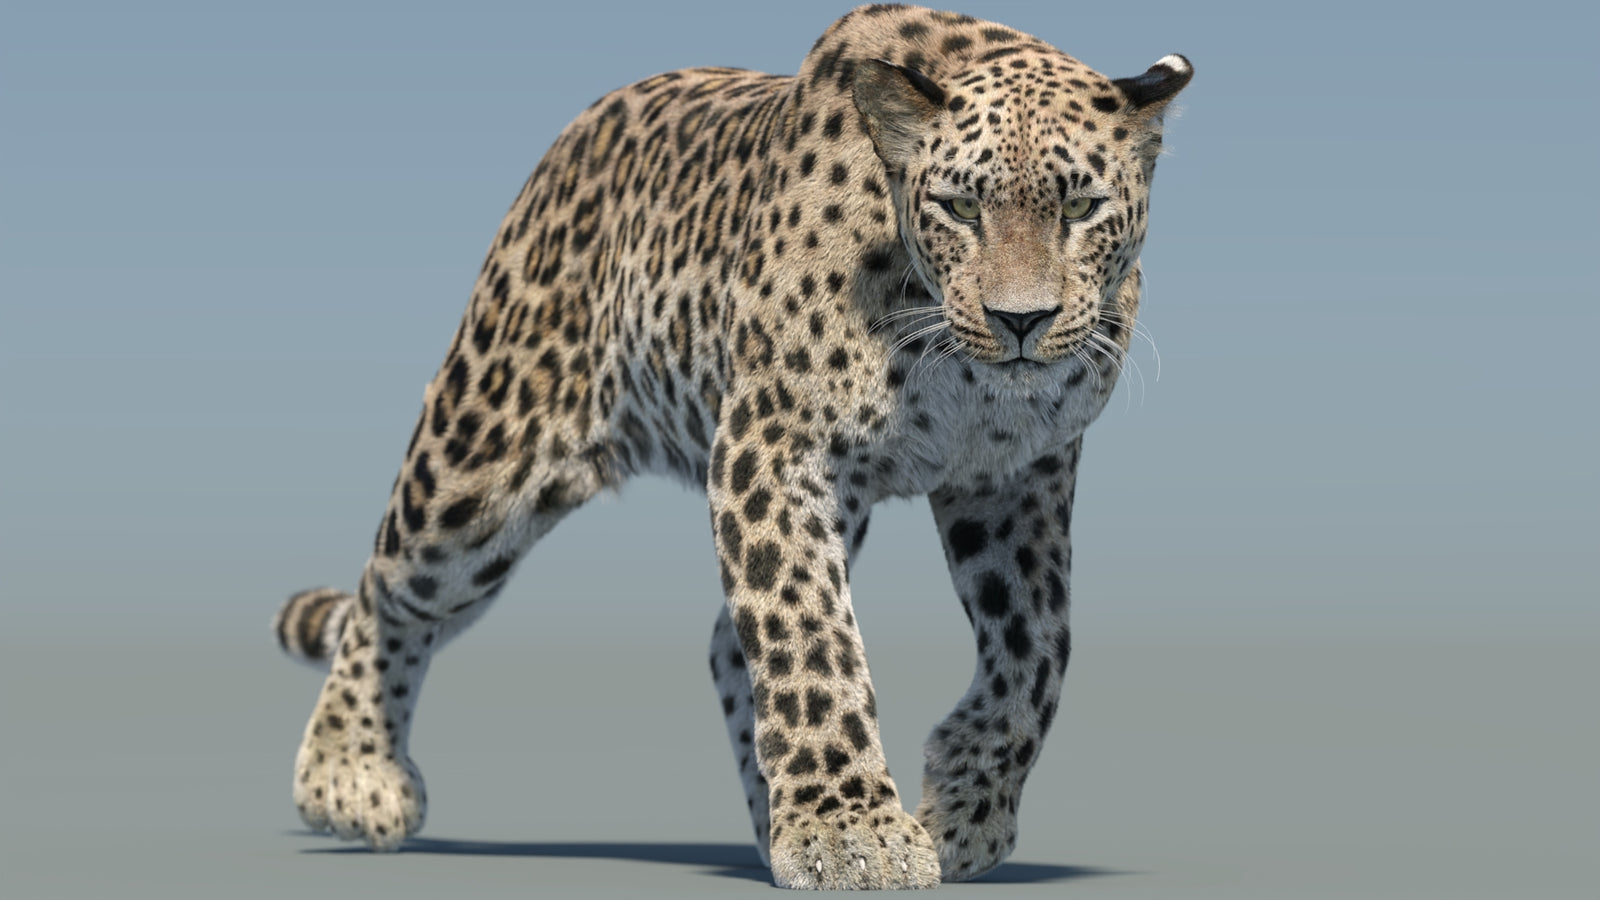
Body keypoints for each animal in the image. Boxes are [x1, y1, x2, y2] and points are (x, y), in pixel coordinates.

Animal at [272, 4, 1190, 889]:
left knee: (722, 643)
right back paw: (347, 775)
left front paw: (962, 806)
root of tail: (578, 131)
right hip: (484, 459)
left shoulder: (1012, 476)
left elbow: (1039, 642)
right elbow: (807, 632)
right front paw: (850, 831)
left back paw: (765, 819)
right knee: (390, 585)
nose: (1020, 321)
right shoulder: (774, 444)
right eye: (962, 207)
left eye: (1081, 208)